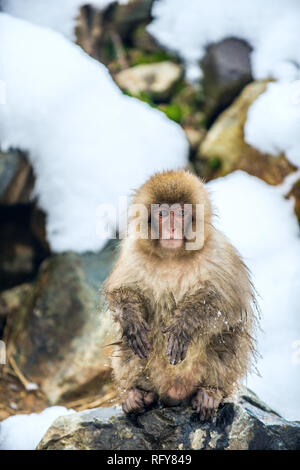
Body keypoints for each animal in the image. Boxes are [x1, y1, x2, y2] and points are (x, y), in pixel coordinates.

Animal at [103, 171, 258, 420]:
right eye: (163, 213)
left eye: (182, 213)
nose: (172, 229)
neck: (173, 256)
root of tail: (175, 392)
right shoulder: (132, 252)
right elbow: (123, 292)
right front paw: (130, 317)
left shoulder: (219, 252)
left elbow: (224, 304)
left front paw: (185, 324)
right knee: (129, 347)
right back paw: (137, 393)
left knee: (227, 338)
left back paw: (210, 393)